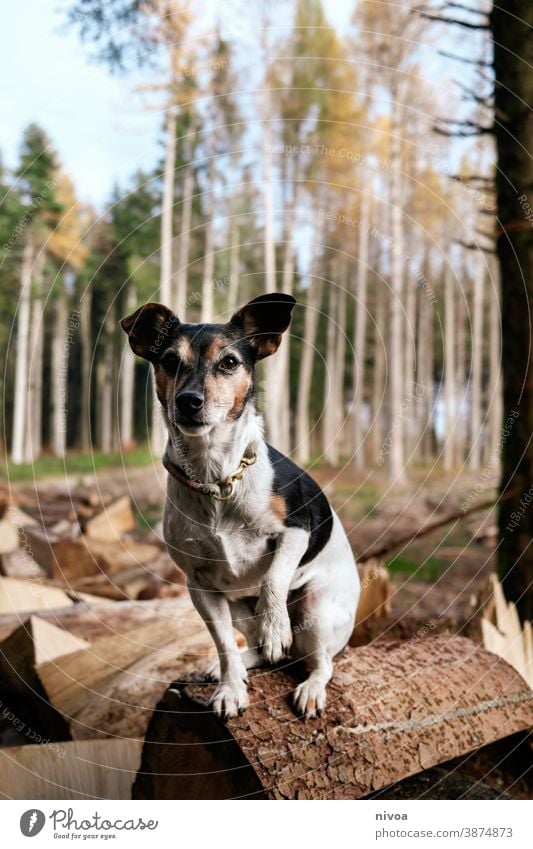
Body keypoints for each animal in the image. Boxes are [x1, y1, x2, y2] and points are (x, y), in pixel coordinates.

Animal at [120, 290, 360, 716]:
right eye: (170, 361)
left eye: (229, 362)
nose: (189, 401)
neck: (216, 478)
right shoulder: (200, 586)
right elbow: (224, 646)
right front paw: (230, 688)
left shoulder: (296, 530)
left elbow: (272, 579)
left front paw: (276, 628)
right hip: (236, 607)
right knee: (256, 651)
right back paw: (230, 663)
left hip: (315, 608)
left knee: (322, 662)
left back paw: (308, 684)